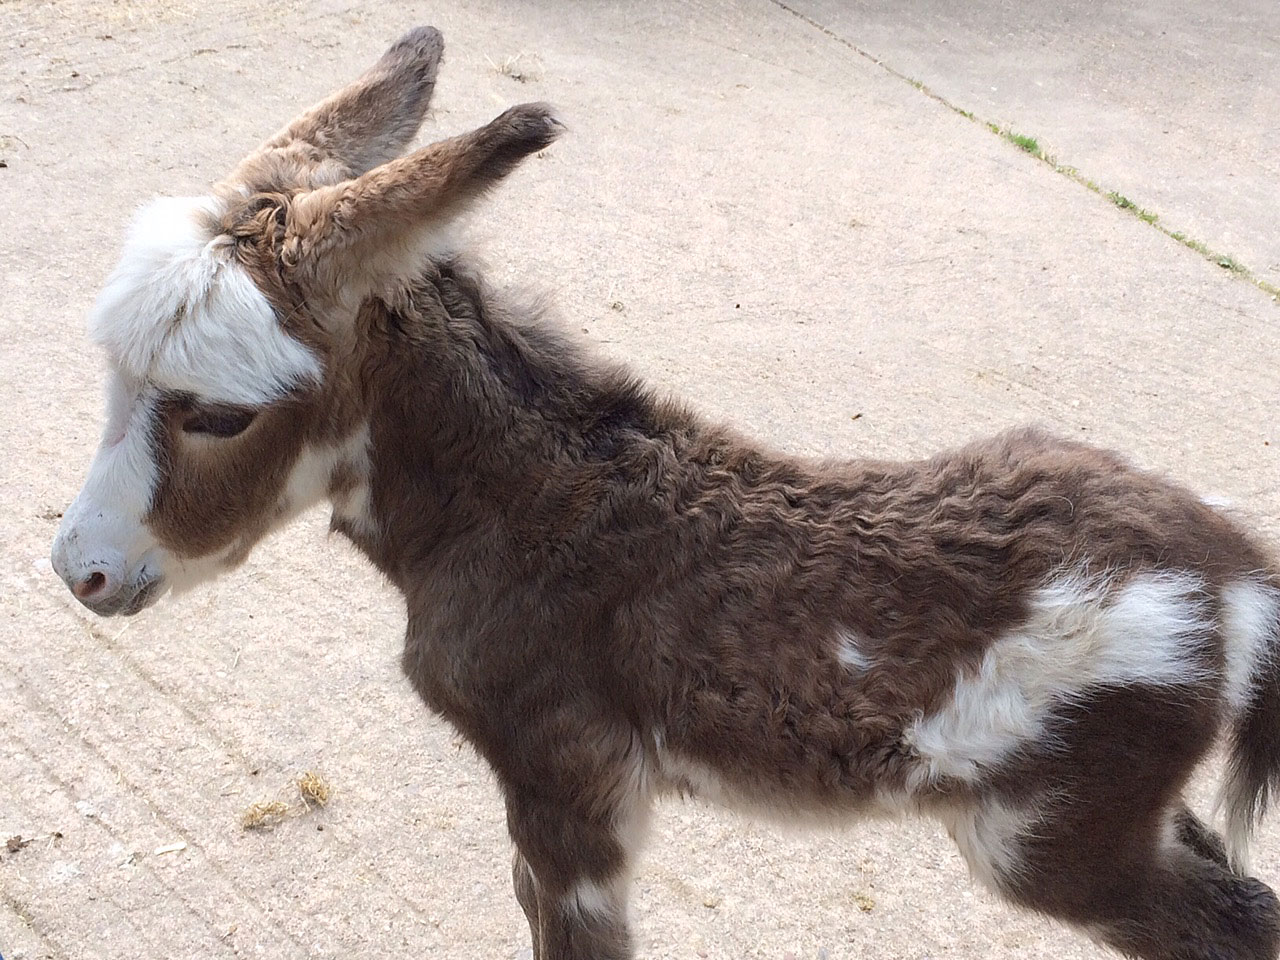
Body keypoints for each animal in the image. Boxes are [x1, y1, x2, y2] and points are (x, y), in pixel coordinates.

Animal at [49, 26, 1280, 957]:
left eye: (216, 413)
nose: (78, 573)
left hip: (1050, 837)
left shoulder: (565, 788)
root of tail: (1231, 567)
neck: (530, 513)